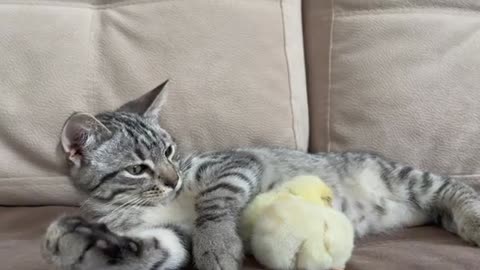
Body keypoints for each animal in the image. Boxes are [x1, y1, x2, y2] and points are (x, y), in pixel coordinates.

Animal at [41, 80, 480, 270]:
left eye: (168, 151)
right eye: (137, 169)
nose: (173, 179)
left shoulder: (233, 164)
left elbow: (215, 202)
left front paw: (217, 245)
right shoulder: (169, 234)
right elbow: (157, 247)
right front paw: (81, 245)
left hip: (405, 177)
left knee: (454, 187)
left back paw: (473, 220)